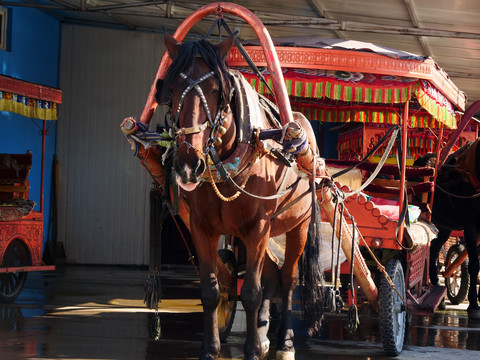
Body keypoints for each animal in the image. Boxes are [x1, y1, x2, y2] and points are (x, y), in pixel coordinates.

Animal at [156, 33, 324, 360]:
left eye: (215, 90)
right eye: (172, 88)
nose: (189, 164)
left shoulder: (257, 228)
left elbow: (251, 292)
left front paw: (252, 350)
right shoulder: (202, 228)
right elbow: (211, 291)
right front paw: (211, 349)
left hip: (296, 228)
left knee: (287, 280)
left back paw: (284, 340)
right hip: (270, 235)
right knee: (271, 277)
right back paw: (263, 331)